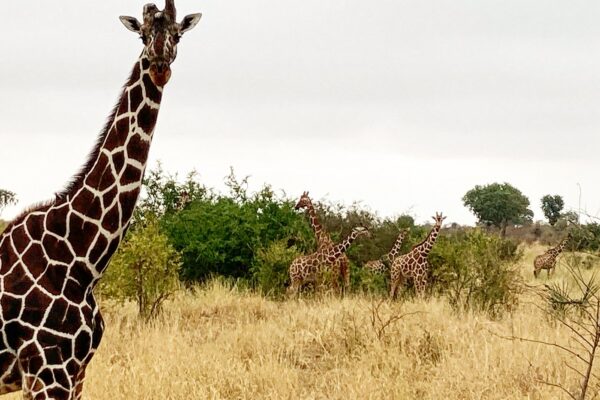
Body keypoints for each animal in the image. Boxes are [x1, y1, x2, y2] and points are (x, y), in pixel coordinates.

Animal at [0, 1, 203, 398]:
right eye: (143, 34)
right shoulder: (49, 369)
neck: (82, 258)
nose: (159, 66)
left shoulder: (75, 372)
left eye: (177, 34)